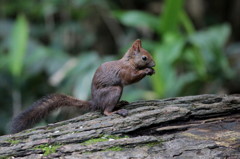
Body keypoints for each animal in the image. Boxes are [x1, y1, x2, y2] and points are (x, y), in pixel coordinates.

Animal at [10, 39, 156, 134]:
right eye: (144, 58)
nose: (154, 64)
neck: (129, 61)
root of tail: (95, 102)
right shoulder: (125, 71)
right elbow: (131, 78)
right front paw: (147, 71)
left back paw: (120, 104)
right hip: (114, 90)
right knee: (105, 111)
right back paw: (115, 111)